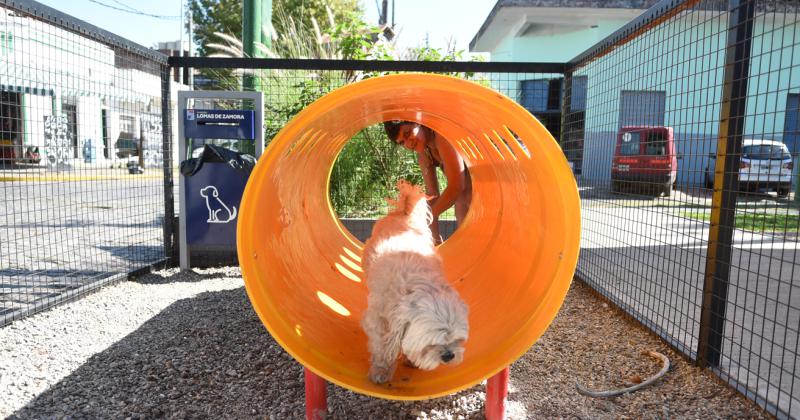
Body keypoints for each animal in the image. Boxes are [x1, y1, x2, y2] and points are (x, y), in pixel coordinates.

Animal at [360, 180, 468, 384]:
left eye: (457, 340)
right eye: (431, 342)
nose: (448, 355)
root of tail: (404, 213)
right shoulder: (380, 319)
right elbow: (382, 344)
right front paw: (381, 370)